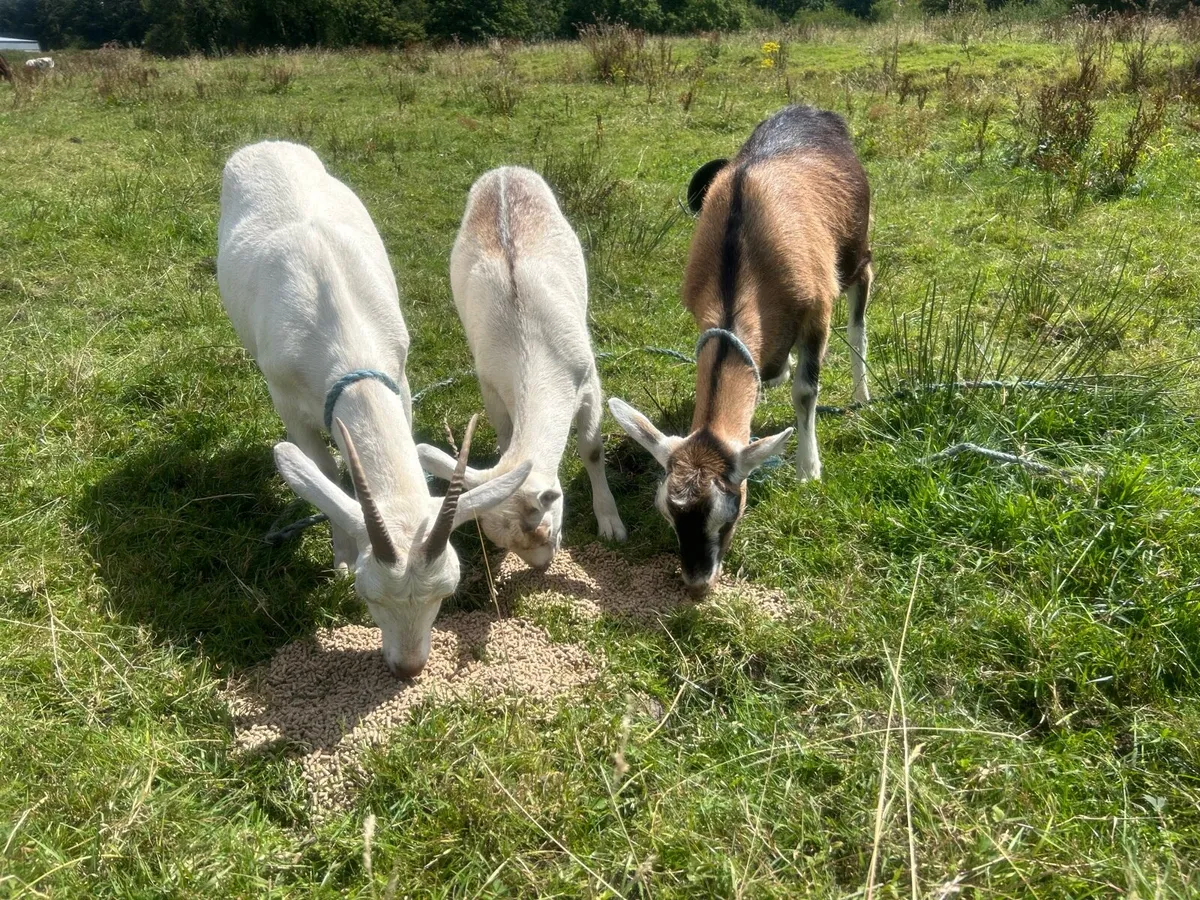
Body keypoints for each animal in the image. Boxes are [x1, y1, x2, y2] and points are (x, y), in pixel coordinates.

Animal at [217, 141, 531, 676]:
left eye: (445, 591)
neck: (341, 328)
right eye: (369, 596)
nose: (408, 668)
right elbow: (321, 471)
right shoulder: (288, 401)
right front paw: (342, 554)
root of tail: (265, 145)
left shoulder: (399, 380)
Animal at [417, 166, 626, 568]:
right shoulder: (490, 387)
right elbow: (502, 436)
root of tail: (502, 171)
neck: (532, 351)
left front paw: (610, 523)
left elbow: (591, 449)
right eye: (496, 540)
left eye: (545, 527)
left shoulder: (589, 380)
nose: (542, 566)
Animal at [609, 105, 872, 595]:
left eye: (730, 515)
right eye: (667, 513)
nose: (697, 583)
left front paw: (809, 469)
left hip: (857, 252)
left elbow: (806, 391)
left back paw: (862, 393)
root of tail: (814, 111)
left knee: (860, 313)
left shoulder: (817, 308)